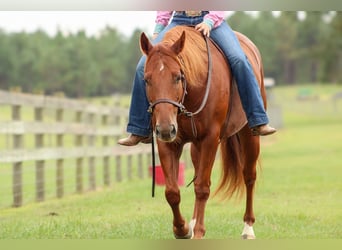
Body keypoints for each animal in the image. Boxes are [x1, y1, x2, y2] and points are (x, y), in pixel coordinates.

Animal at [140, 26, 266, 239]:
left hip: (249, 135)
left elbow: (202, 188)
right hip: (195, 146)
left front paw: (198, 232)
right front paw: (182, 229)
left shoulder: (210, 139)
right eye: (147, 80)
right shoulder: (168, 142)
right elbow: (172, 191)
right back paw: (192, 222)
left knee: (249, 176)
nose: (165, 128)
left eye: (178, 77)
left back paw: (248, 228)